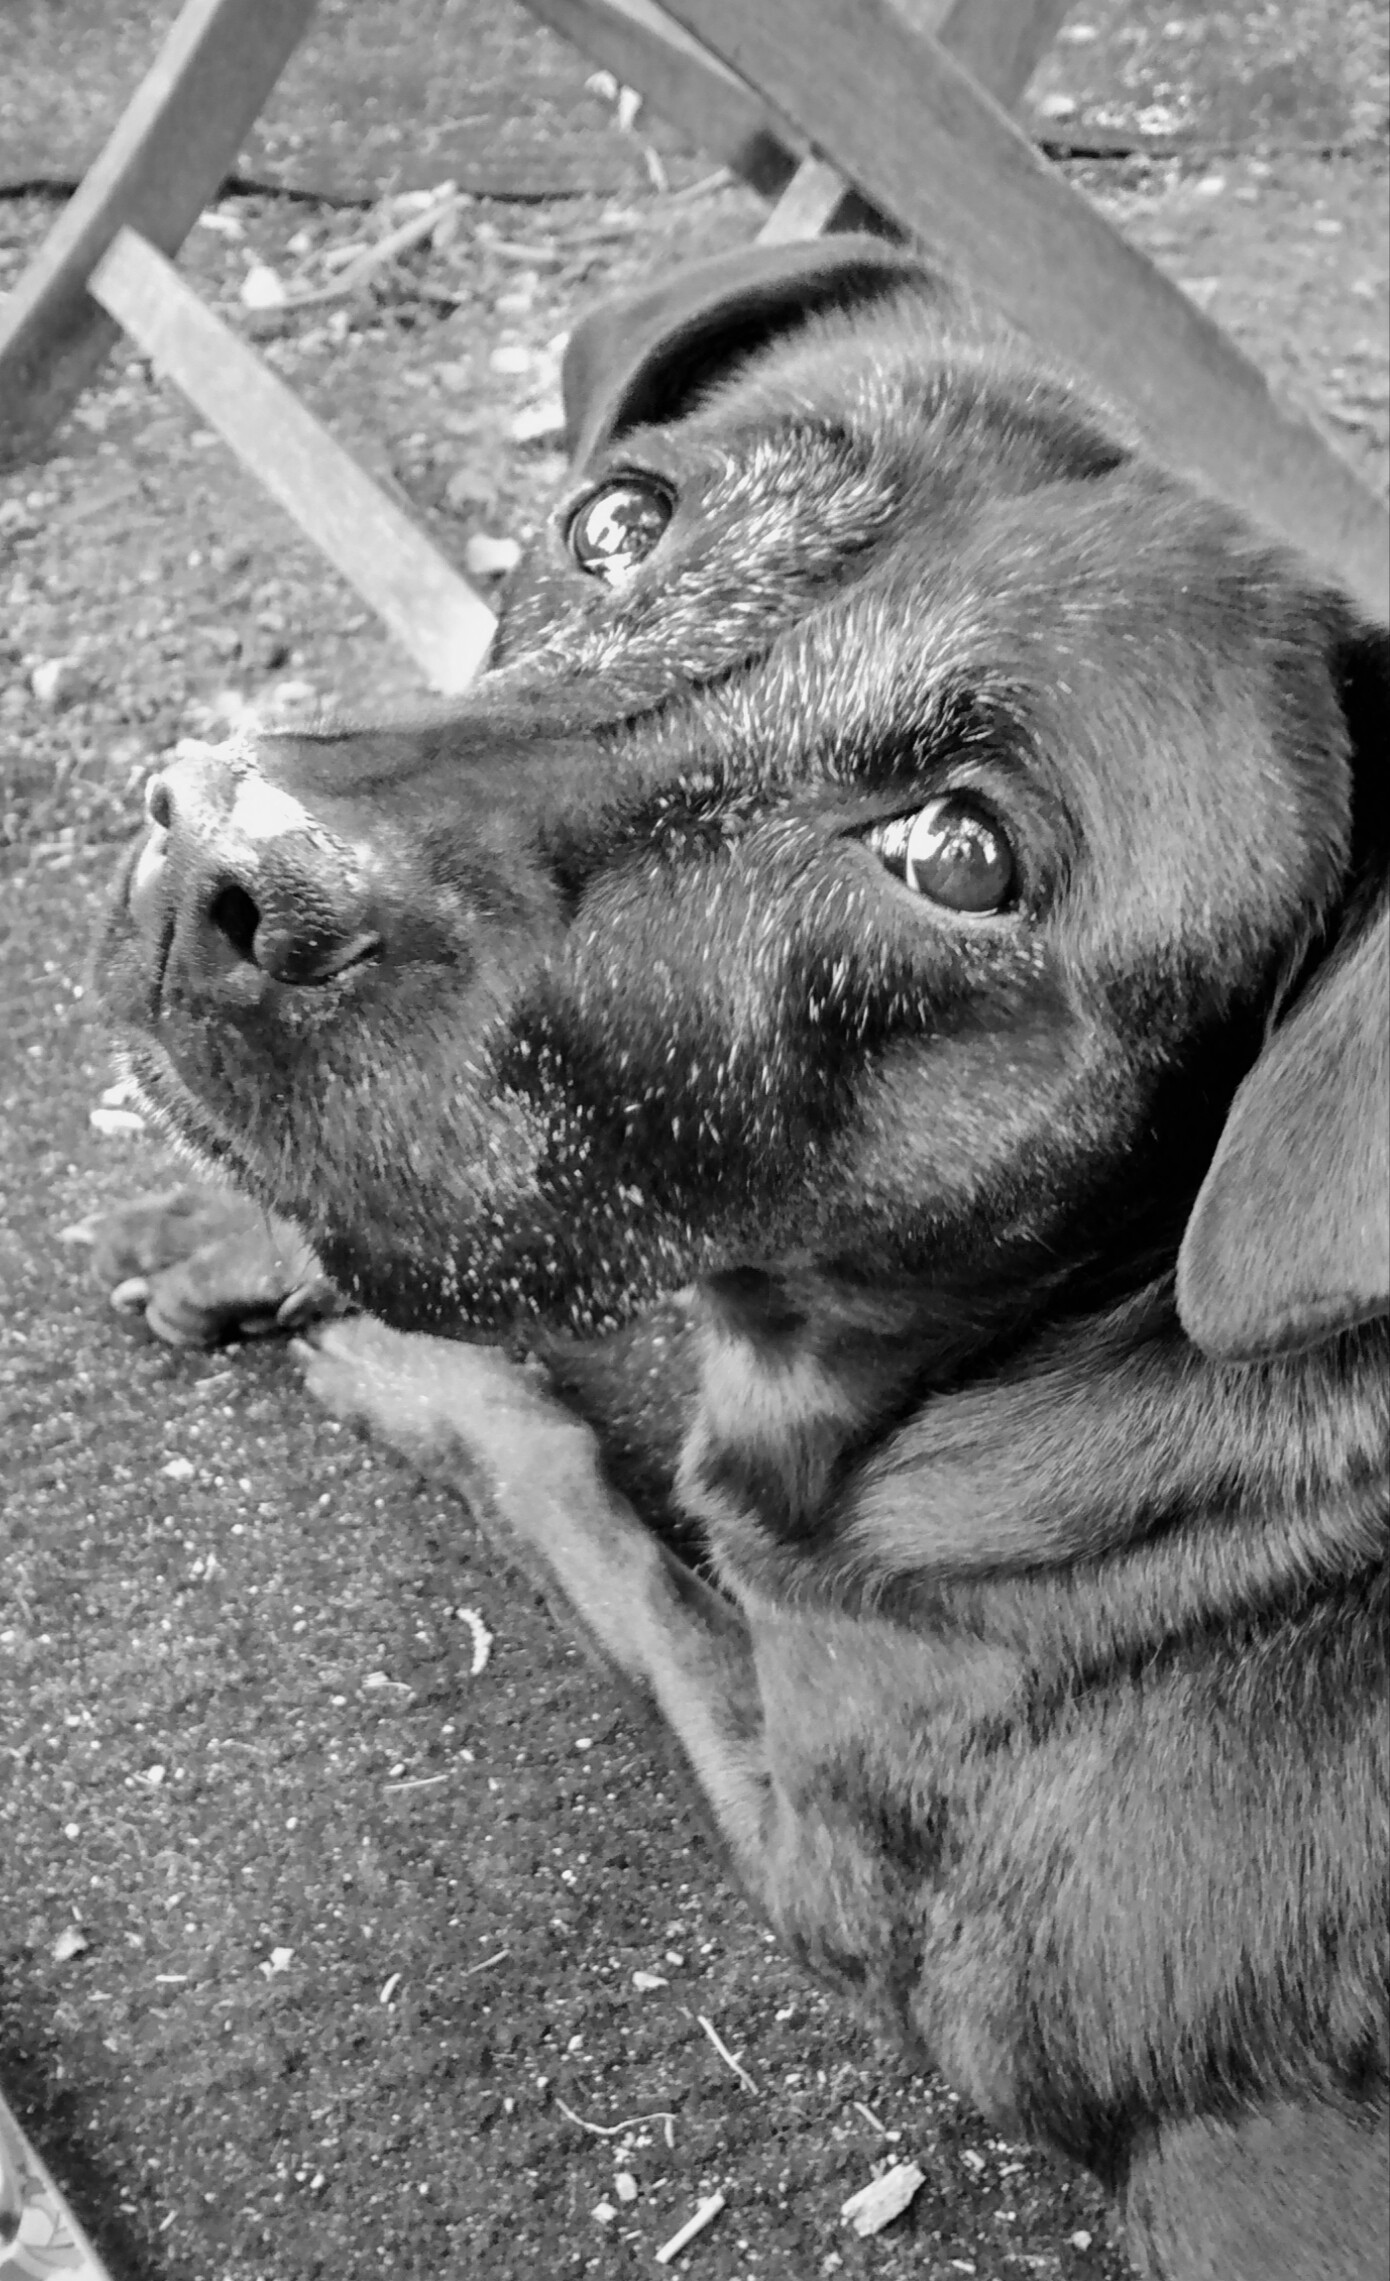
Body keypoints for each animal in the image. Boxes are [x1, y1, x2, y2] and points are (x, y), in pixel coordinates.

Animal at [96, 237, 1388, 2278]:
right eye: (616, 522)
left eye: (958, 853)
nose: (224, 849)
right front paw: (239, 1234)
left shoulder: (817, 1843)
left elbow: (591, 1510)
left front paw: (403, 1368)